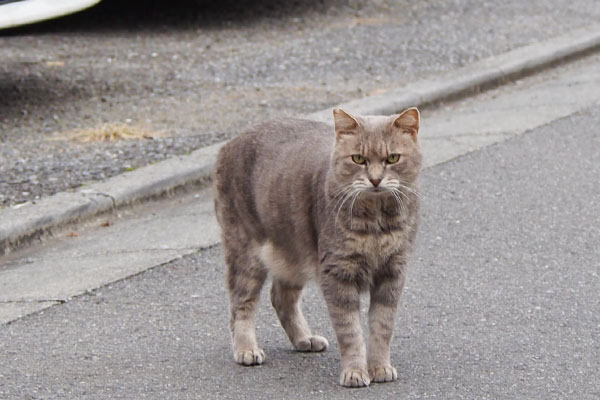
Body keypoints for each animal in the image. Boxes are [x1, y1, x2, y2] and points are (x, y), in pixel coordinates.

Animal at [213, 107, 420, 388]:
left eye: (392, 158)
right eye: (358, 159)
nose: (375, 180)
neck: (377, 223)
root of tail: (230, 142)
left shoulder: (393, 272)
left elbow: (381, 327)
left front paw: (380, 367)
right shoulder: (337, 272)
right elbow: (351, 331)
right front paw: (355, 372)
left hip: (293, 253)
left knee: (280, 298)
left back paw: (304, 339)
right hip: (246, 252)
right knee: (240, 304)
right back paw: (246, 349)